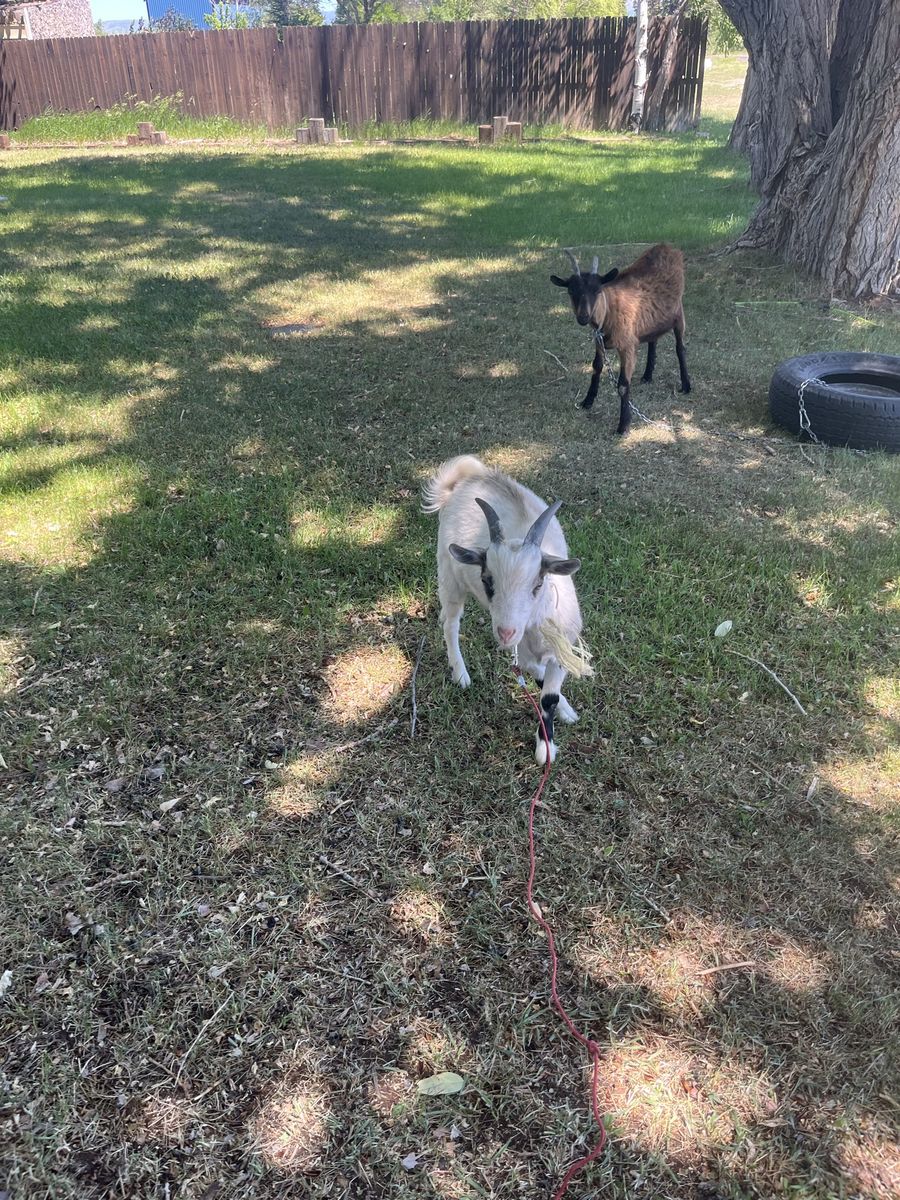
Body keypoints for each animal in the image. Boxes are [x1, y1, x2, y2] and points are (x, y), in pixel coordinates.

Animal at [422, 455, 591, 765]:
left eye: (539, 583)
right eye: (487, 580)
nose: (505, 632)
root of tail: (471, 476)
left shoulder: (560, 646)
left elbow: (549, 692)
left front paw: (561, 714)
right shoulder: (520, 651)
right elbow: (540, 683)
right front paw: (545, 749)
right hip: (449, 577)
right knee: (450, 624)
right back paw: (460, 672)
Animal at [551, 243, 691, 435]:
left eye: (597, 290)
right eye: (571, 291)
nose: (583, 317)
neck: (609, 311)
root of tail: (667, 247)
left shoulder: (627, 346)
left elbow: (623, 385)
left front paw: (623, 425)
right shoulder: (599, 341)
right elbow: (596, 367)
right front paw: (588, 401)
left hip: (679, 313)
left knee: (680, 348)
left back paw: (686, 385)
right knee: (653, 340)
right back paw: (647, 375)